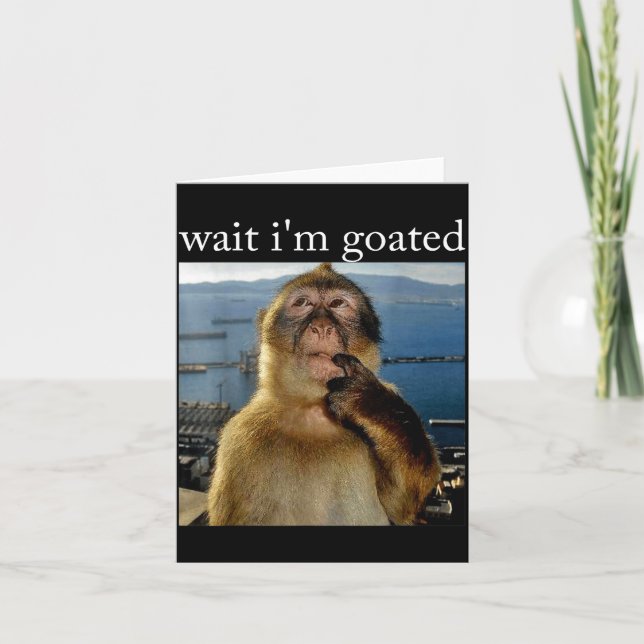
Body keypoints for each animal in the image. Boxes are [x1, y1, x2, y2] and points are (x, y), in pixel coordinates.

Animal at [207, 262, 441, 526]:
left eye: (338, 303)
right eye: (302, 303)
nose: (321, 327)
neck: (314, 410)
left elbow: (402, 504)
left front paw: (368, 402)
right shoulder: (239, 440)